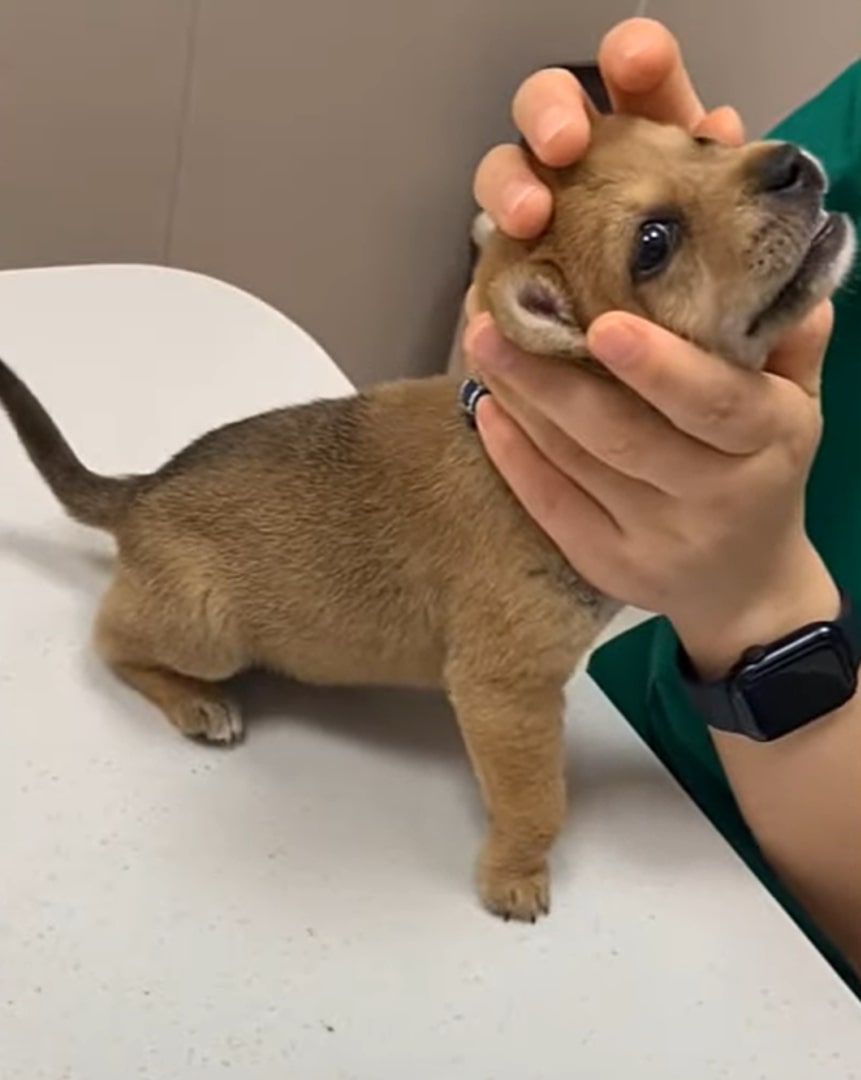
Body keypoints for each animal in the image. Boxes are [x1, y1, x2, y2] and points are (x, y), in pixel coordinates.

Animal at [1, 116, 851, 920]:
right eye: (652, 243)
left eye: (700, 139)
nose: (790, 164)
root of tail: (142, 492)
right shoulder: (506, 693)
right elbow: (537, 801)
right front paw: (514, 875)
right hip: (207, 630)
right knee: (110, 641)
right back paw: (195, 702)